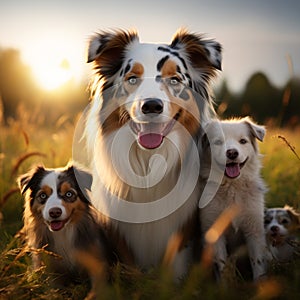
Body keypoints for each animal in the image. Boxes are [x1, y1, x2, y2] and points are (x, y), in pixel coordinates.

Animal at [199, 116, 268, 280]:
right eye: (218, 142)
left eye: (243, 141)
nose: (231, 153)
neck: (232, 188)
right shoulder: (214, 233)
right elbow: (222, 267)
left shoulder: (254, 231)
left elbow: (258, 263)